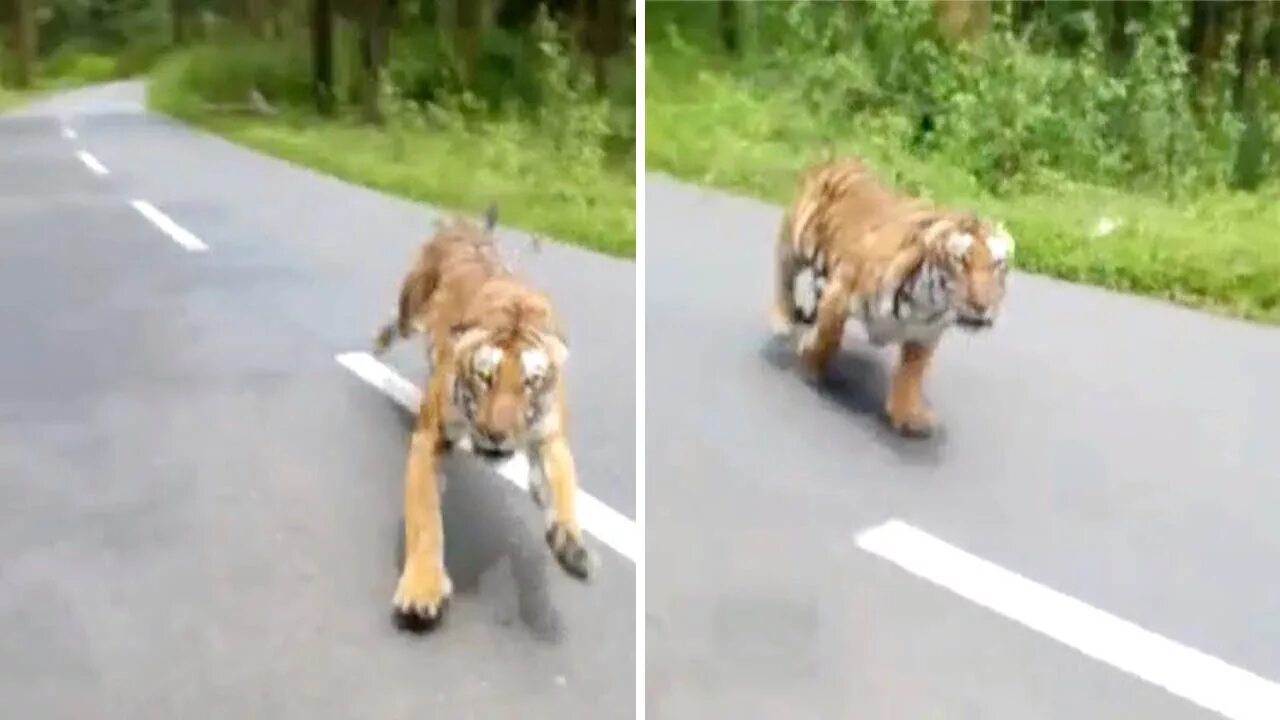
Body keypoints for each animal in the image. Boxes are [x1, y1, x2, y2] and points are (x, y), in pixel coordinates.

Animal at [371, 202, 588, 622]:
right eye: (484, 377)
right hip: (411, 307)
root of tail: (467, 224)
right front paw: (421, 590)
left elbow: (563, 487)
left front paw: (570, 544)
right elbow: (425, 518)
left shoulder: (548, 435)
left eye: (530, 382)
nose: (495, 434)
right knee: (396, 318)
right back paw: (376, 345)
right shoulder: (432, 435)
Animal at [773, 155, 1013, 438]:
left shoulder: (925, 334)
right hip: (796, 240)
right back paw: (781, 320)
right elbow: (828, 337)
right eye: (961, 261)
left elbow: (911, 375)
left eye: (997, 265)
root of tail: (838, 158)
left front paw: (908, 415)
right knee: (784, 276)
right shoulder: (839, 293)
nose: (982, 306)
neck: (926, 304)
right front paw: (812, 367)